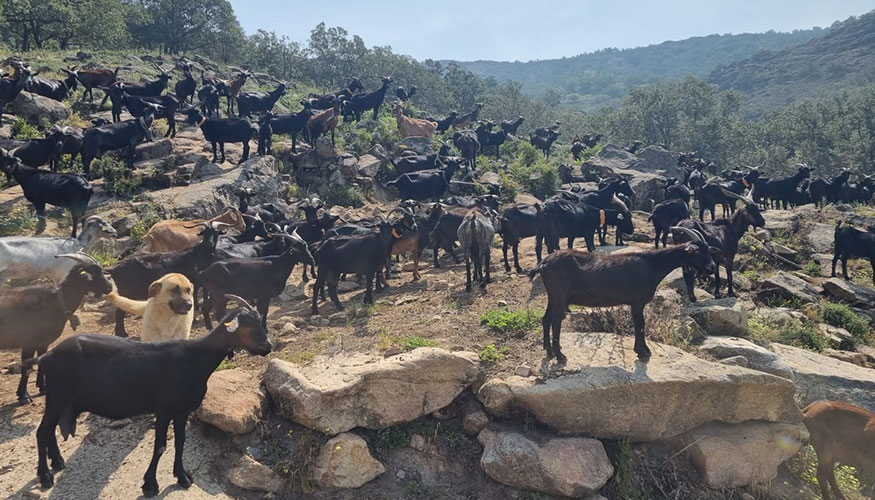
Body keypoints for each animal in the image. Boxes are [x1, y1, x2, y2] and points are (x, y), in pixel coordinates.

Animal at [0, 253, 111, 404]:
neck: (57, 303)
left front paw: (42, 387)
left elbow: (41, 360)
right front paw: (23, 396)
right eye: (92, 273)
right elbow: (27, 368)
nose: (109, 287)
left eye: (101, 270)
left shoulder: (43, 342)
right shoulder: (29, 342)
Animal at [28, 296, 271, 496]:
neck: (195, 360)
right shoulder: (163, 410)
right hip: (57, 394)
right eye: (247, 326)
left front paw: (182, 477)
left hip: (60, 398)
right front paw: (150, 485)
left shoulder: (182, 410)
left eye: (260, 322)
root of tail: (47, 356)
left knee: (49, 429)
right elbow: (161, 446)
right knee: (42, 431)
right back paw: (45, 476)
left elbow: (181, 441)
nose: (267, 347)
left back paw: (57, 462)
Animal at [529, 227, 715, 362]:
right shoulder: (638, 302)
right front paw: (642, 352)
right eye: (698, 252)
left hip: (552, 296)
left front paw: (643, 350)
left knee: (546, 319)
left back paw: (549, 351)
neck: (653, 265)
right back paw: (560, 356)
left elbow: (639, 324)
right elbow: (640, 324)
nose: (712, 268)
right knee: (555, 322)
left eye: (709, 250)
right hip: (559, 295)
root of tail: (543, 264)